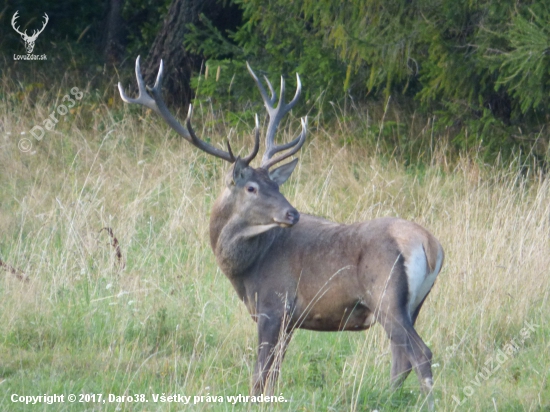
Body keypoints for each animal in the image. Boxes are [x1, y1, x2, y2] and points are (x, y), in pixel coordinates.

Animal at [119, 56, 444, 410]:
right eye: (253, 187)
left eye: (275, 185)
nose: (292, 213)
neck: (246, 270)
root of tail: (430, 246)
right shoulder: (289, 321)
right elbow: (274, 374)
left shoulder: (273, 305)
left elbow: (260, 375)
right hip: (413, 305)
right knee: (401, 359)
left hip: (385, 295)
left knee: (420, 354)